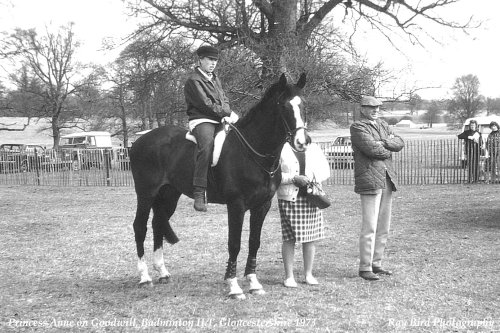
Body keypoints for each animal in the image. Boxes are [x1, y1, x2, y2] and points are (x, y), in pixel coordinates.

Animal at [129, 73, 308, 298]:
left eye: (304, 105)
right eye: (284, 106)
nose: (303, 142)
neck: (253, 151)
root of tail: (139, 141)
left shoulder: (262, 206)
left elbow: (254, 242)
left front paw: (253, 282)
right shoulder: (236, 205)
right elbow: (234, 244)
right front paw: (234, 286)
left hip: (169, 195)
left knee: (157, 224)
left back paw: (162, 273)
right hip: (146, 194)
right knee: (140, 227)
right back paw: (144, 277)